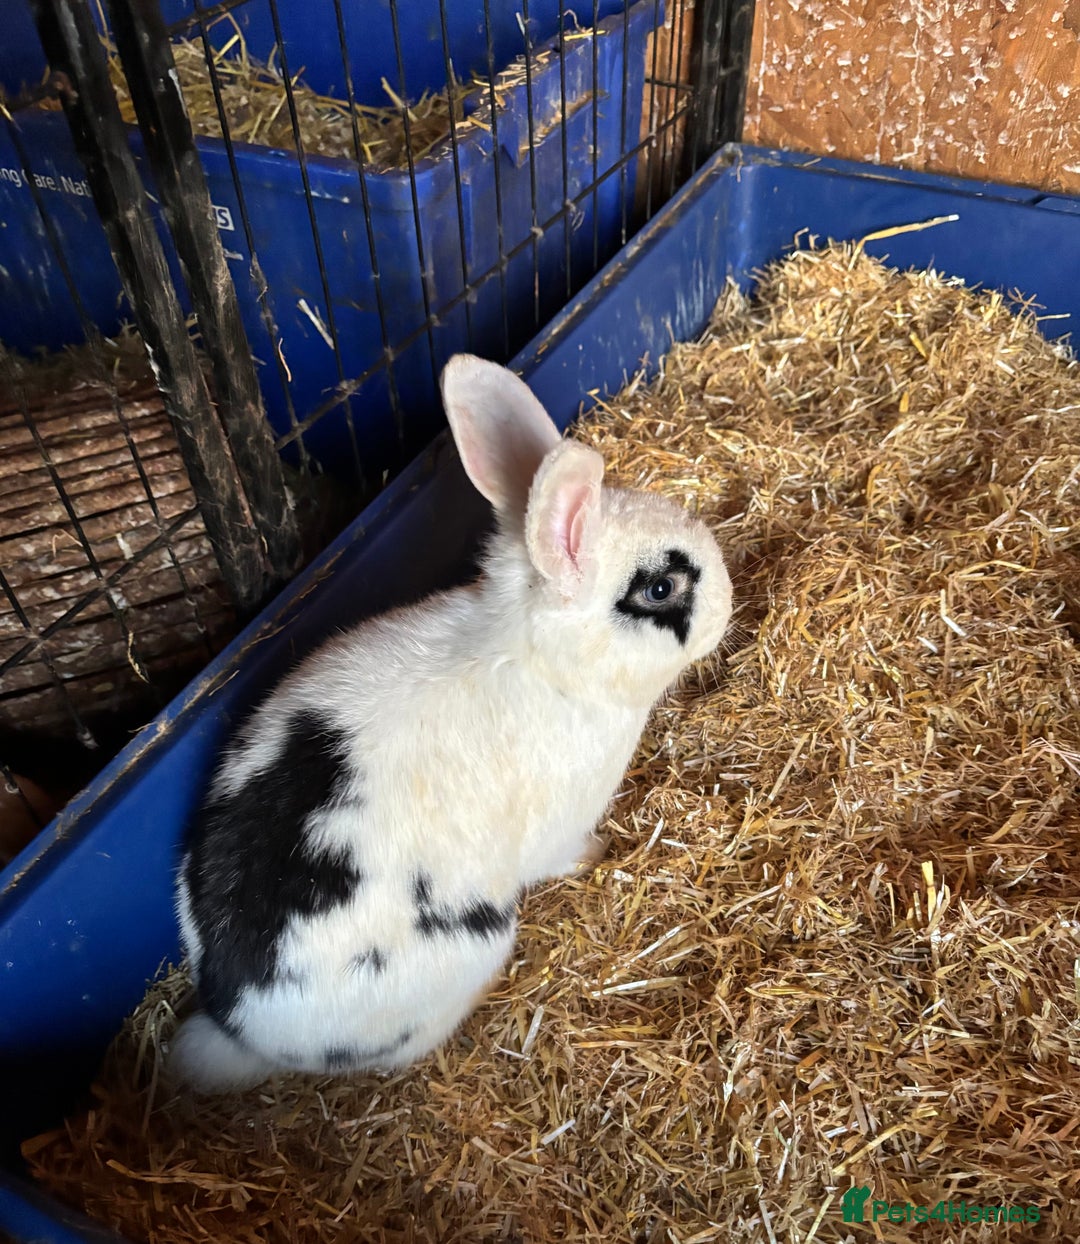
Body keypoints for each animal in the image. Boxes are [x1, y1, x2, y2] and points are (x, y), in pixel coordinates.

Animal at [170, 354, 733, 1092]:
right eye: (661, 589)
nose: (729, 601)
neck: (541, 659)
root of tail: (242, 1030)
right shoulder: (561, 821)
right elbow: (565, 852)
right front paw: (599, 855)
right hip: (477, 943)